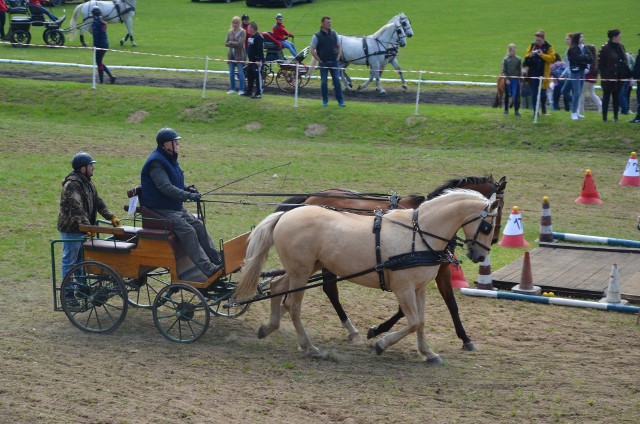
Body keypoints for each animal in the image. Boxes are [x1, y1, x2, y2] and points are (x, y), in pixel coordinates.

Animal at [235, 190, 500, 362]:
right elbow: (413, 321)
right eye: (488, 226)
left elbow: (422, 321)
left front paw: (428, 352)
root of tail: (287, 215)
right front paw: (381, 344)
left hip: (302, 268)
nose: (479, 255)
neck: (419, 234)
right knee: (293, 304)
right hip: (301, 271)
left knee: (277, 287)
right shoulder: (403, 288)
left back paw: (268, 327)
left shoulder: (419, 287)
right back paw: (309, 346)